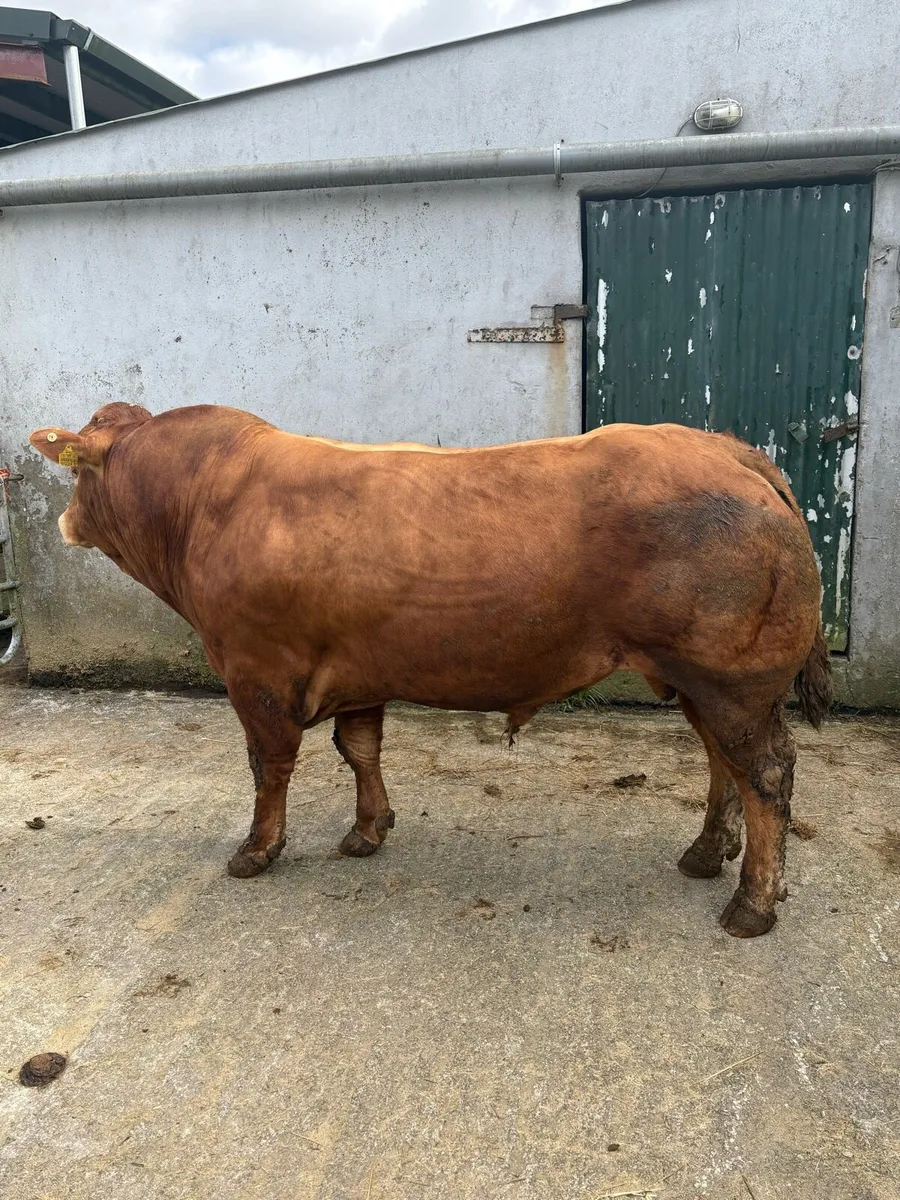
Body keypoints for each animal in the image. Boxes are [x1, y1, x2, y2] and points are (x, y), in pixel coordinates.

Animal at [29, 403, 831, 938]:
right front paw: (367, 830)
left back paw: (752, 904)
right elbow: (359, 750)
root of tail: (725, 449)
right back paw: (704, 855)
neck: (205, 503)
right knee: (724, 767)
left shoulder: (255, 673)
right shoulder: (357, 671)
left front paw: (257, 850)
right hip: (705, 682)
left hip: (731, 681)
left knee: (765, 774)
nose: (63, 522)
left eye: (78, 474)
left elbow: (269, 766)